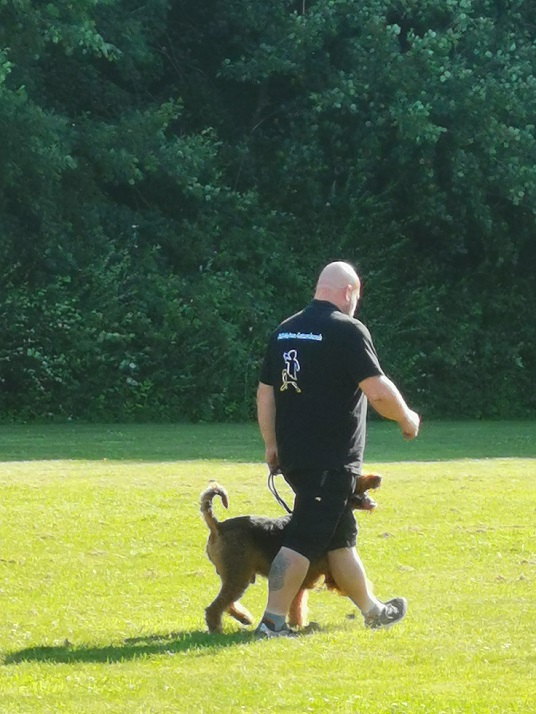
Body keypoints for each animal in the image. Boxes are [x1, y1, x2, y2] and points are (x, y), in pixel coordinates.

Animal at [201, 472, 381, 633]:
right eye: (357, 476)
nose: (378, 478)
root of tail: (218, 526)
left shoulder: (303, 579)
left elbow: (297, 605)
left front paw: (297, 624)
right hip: (238, 575)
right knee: (216, 606)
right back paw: (216, 628)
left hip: (237, 575)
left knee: (227, 603)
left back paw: (245, 618)